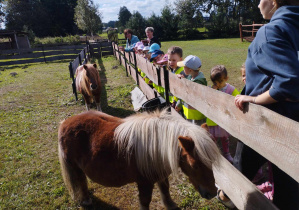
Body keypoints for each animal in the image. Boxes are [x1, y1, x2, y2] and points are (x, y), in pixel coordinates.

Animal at [58, 109, 220, 209]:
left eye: (211, 162)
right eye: (195, 165)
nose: (212, 193)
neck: (156, 146)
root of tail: (65, 122)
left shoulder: (161, 175)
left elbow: (165, 190)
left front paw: (170, 205)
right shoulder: (144, 182)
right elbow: (145, 201)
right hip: (75, 167)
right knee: (80, 182)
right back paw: (86, 200)